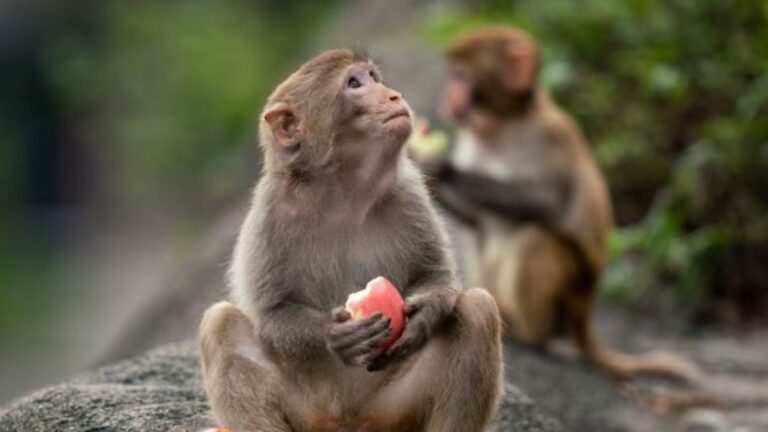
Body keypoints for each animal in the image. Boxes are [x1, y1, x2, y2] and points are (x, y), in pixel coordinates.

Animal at [198, 50, 503, 432]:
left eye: (374, 77)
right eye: (354, 84)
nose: (393, 95)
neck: (344, 193)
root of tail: (348, 422)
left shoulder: (409, 192)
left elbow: (437, 275)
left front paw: (422, 315)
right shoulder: (270, 213)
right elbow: (271, 312)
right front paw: (333, 334)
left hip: (391, 411)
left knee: (477, 310)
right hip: (308, 411)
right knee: (220, 322)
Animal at [414, 26, 700, 382]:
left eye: (461, 75)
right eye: (452, 73)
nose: (448, 94)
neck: (501, 124)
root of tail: (584, 314)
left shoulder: (550, 136)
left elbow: (547, 201)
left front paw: (440, 167)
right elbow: (474, 219)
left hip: (570, 294)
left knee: (535, 235)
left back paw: (525, 330)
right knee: (481, 234)